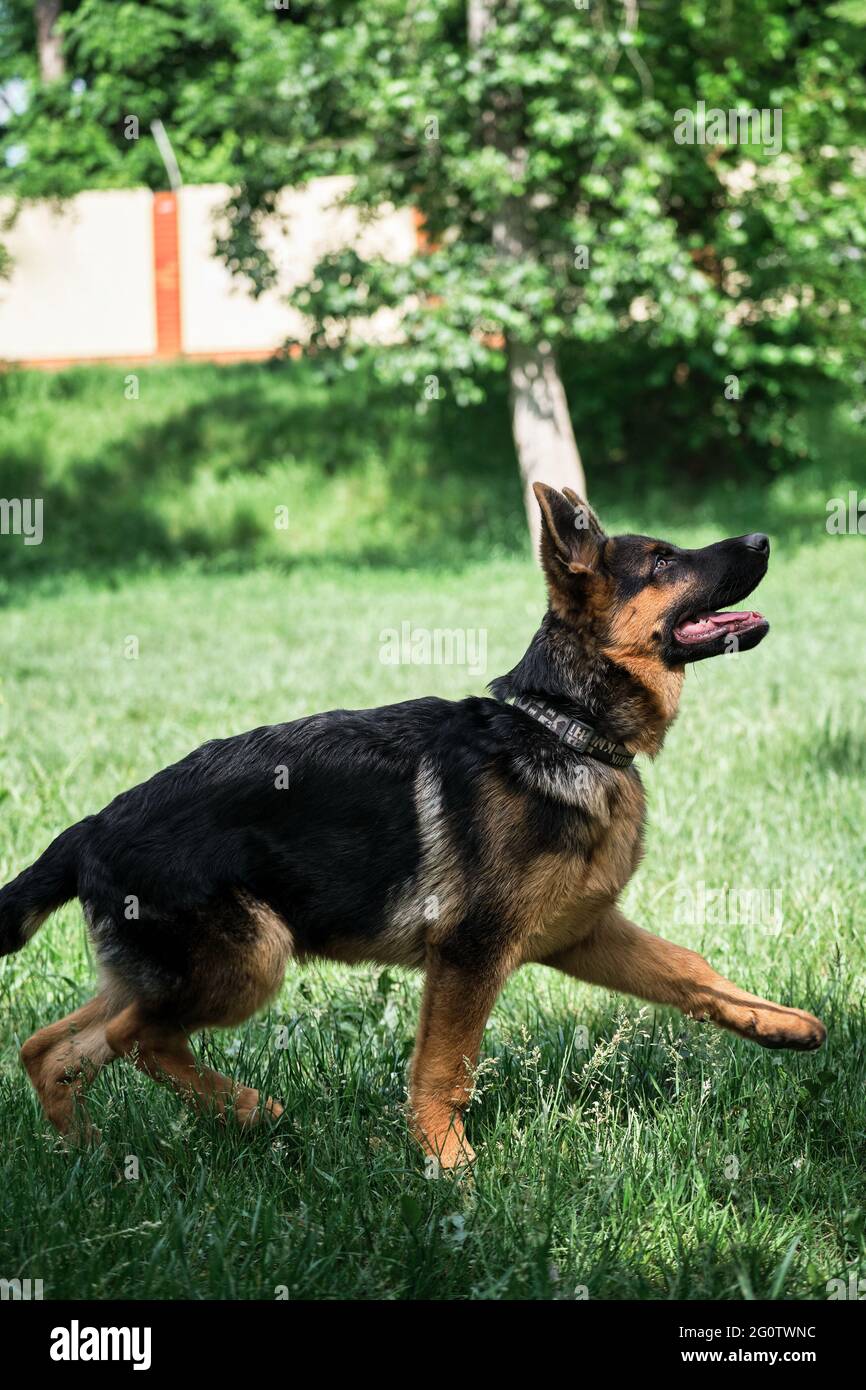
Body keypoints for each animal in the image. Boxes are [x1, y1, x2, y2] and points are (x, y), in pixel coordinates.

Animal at [0, 483, 828, 1167]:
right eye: (662, 560)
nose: (761, 538)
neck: (562, 726)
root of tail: (89, 829)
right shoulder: (468, 953)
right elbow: (445, 1067)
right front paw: (451, 1168)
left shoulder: (583, 934)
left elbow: (690, 967)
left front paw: (777, 1024)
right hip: (251, 958)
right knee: (136, 1036)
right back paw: (251, 1112)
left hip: (169, 969)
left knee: (52, 1047)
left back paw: (88, 1153)